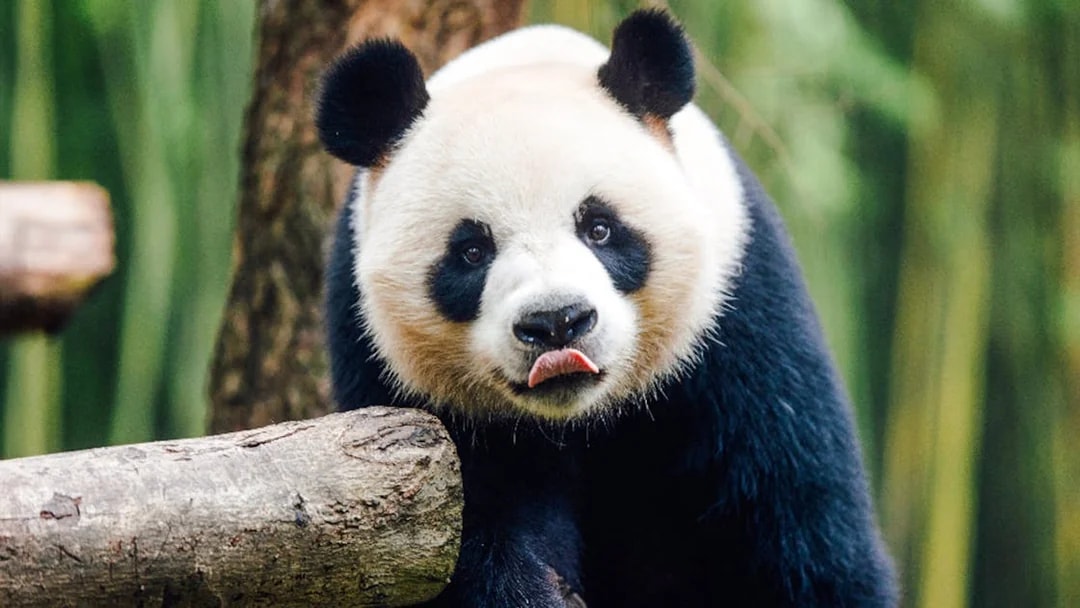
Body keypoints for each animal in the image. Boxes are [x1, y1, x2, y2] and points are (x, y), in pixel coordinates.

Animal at [317, 9, 897, 608]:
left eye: (599, 228)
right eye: (472, 251)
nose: (556, 322)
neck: (580, 417)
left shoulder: (744, 324)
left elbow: (796, 527)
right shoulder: (399, 383)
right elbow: (464, 542)